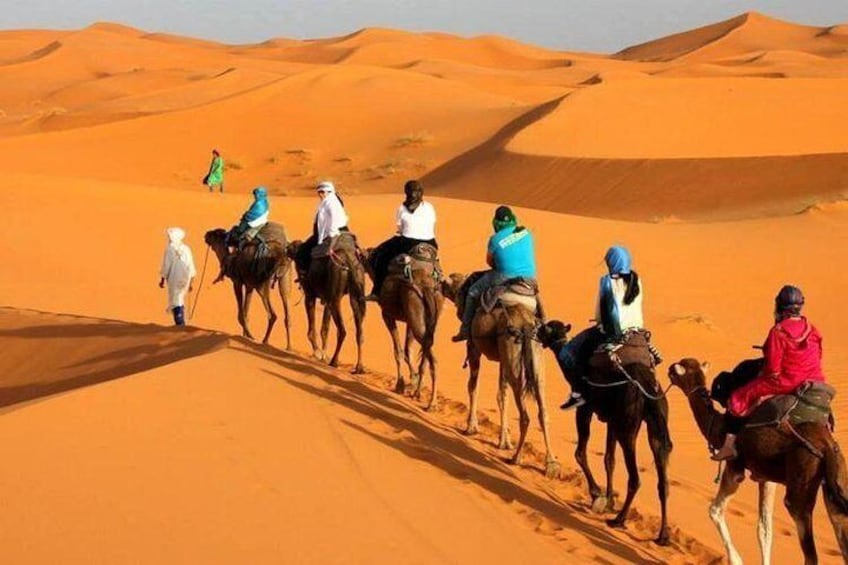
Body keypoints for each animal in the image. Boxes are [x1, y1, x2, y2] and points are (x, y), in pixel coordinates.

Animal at [288, 231, 364, 372]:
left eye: (292, 247)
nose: (286, 248)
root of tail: (348, 259)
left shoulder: (310, 295)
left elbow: (312, 329)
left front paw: (318, 353)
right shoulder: (327, 299)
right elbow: (325, 328)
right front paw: (324, 354)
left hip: (335, 298)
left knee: (342, 331)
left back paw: (334, 361)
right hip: (355, 292)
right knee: (359, 332)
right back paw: (359, 367)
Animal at [362, 245, 444, 408]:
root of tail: (426, 286)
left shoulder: (387, 315)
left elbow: (398, 351)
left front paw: (400, 385)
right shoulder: (409, 321)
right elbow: (408, 351)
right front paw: (413, 381)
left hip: (413, 307)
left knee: (432, 358)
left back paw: (431, 403)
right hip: (427, 317)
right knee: (427, 349)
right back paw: (418, 393)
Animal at [440, 272, 560, 476]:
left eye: (449, 283)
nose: (440, 282)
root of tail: (526, 325)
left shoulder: (473, 347)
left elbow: (473, 386)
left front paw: (471, 427)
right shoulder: (504, 359)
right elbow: (502, 395)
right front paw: (504, 440)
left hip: (511, 352)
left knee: (525, 414)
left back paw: (516, 458)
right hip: (535, 360)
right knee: (542, 410)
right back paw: (550, 464)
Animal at [540, 320, 672, 544]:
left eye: (546, 328)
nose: (535, 329)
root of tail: (647, 384)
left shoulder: (585, 408)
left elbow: (580, 453)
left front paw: (596, 495)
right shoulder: (612, 420)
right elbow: (609, 460)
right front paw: (609, 501)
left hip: (627, 425)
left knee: (635, 477)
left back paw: (619, 520)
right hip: (656, 421)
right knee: (663, 478)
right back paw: (662, 535)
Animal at [668, 360, 848, 560]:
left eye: (675, 371)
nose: (667, 369)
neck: (717, 428)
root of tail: (826, 446)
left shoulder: (734, 467)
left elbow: (715, 510)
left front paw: (736, 560)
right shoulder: (766, 477)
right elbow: (765, 529)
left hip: (801, 485)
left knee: (810, 552)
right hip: (836, 481)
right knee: (841, 526)